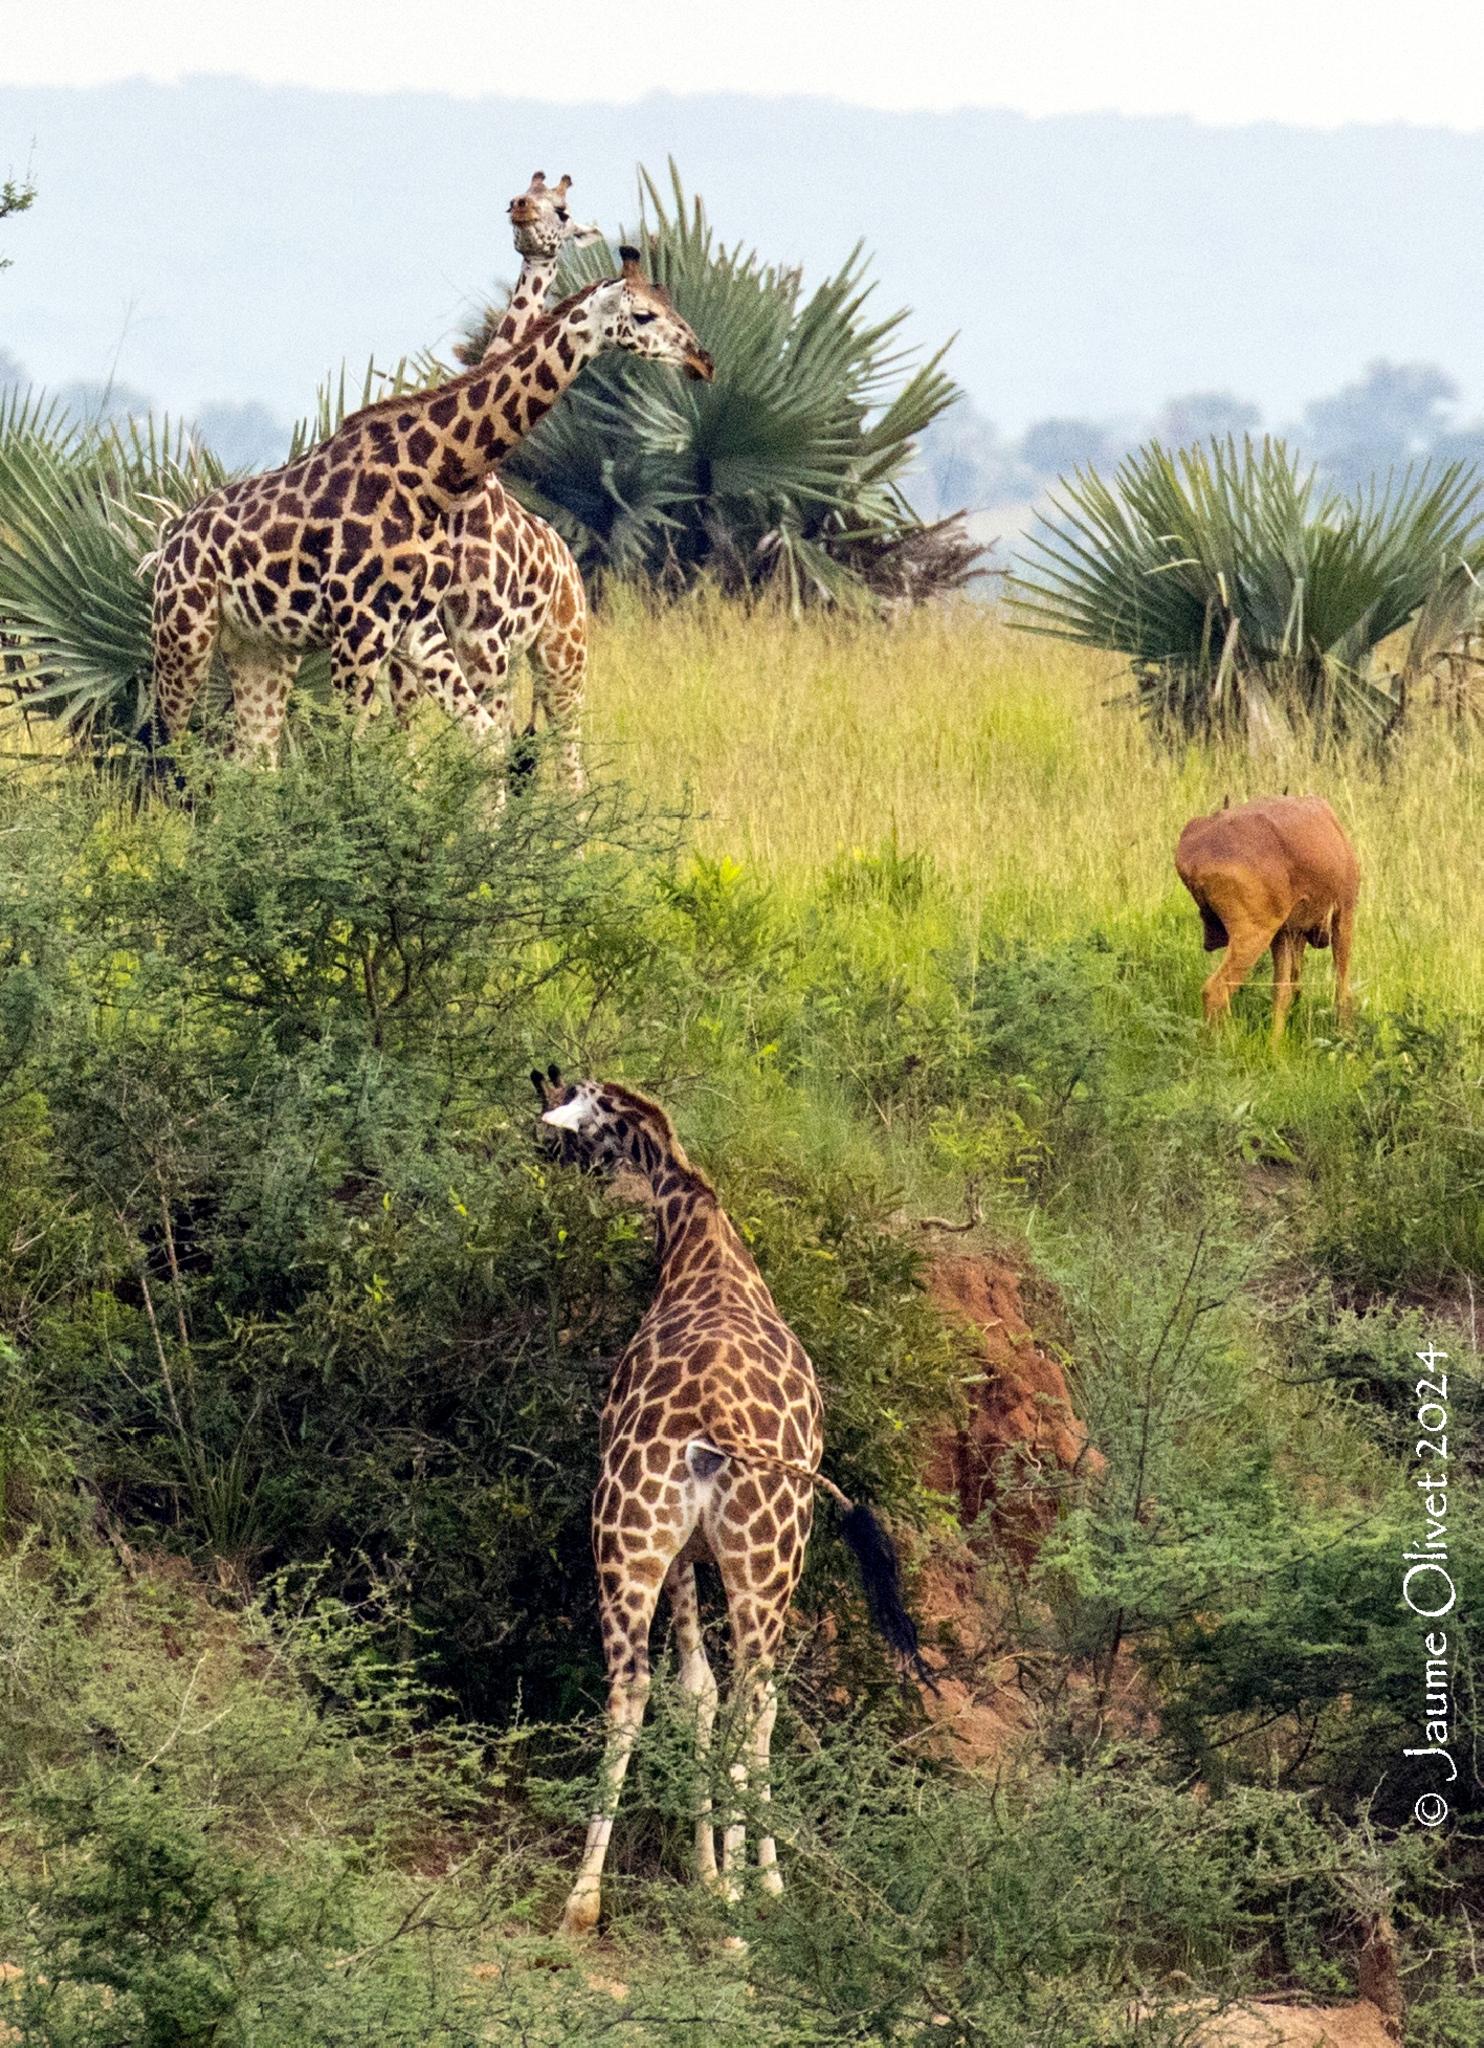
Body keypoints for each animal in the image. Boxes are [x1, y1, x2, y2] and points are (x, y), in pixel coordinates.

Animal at [150, 253, 712, 761]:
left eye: (670, 302)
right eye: (645, 315)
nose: (702, 359)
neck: (433, 479)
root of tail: (168, 541)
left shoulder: (417, 628)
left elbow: (485, 743)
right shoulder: (360, 628)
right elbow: (349, 756)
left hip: (260, 649)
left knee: (249, 760)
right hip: (184, 634)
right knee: (169, 749)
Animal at [393, 169, 605, 782]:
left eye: (562, 210)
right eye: (523, 192)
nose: (520, 210)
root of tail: (573, 572)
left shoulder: (487, 641)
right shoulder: (426, 641)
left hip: (562, 654)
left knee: (570, 763)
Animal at [528, 1064, 925, 1941]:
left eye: (558, 1127)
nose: (544, 1165)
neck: (700, 1244)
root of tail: (716, 1427)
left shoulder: (683, 1553)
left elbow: (694, 1693)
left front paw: (711, 1878)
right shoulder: (717, 1559)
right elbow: (737, 1705)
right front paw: (746, 1884)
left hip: (631, 1539)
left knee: (634, 1689)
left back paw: (583, 1900)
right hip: (766, 1563)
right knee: (753, 1698)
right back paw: (740, 1913)